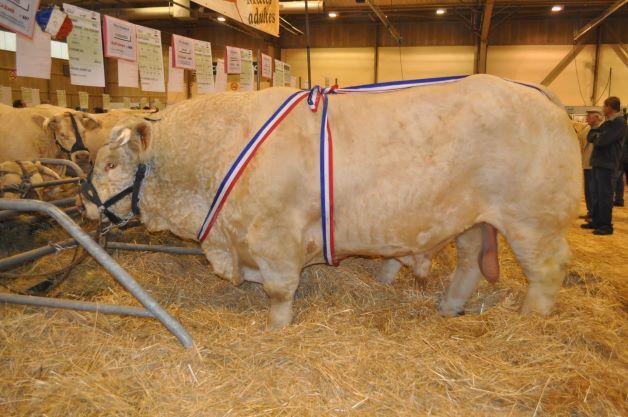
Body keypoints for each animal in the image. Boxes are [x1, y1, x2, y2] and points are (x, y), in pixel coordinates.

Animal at [81, 75, 580, 328]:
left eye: (111, 164)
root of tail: (536, 92)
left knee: (547, 271)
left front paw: (278, 329)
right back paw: (449, 306)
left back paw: (531, 321)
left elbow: (279, 290)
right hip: (472, 219)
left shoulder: (275, 236)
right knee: (471, 262)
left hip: (533, 221)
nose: (84, 204)